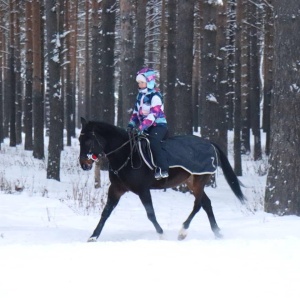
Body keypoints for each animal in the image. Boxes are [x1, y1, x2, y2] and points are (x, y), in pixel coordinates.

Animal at [78, 118, 245, 241]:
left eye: (88, 141)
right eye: (80, 140)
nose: (84, 164)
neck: (127, 154)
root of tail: (209, 143)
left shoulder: (143, 190)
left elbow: (150, 214)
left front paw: (162, 235)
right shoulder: (116, 189)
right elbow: (105, 212)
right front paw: (93, 236)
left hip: (199, 180)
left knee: (198, 205)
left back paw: (183, 231)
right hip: (192, 182)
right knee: (206, 204)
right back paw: (217, 232)